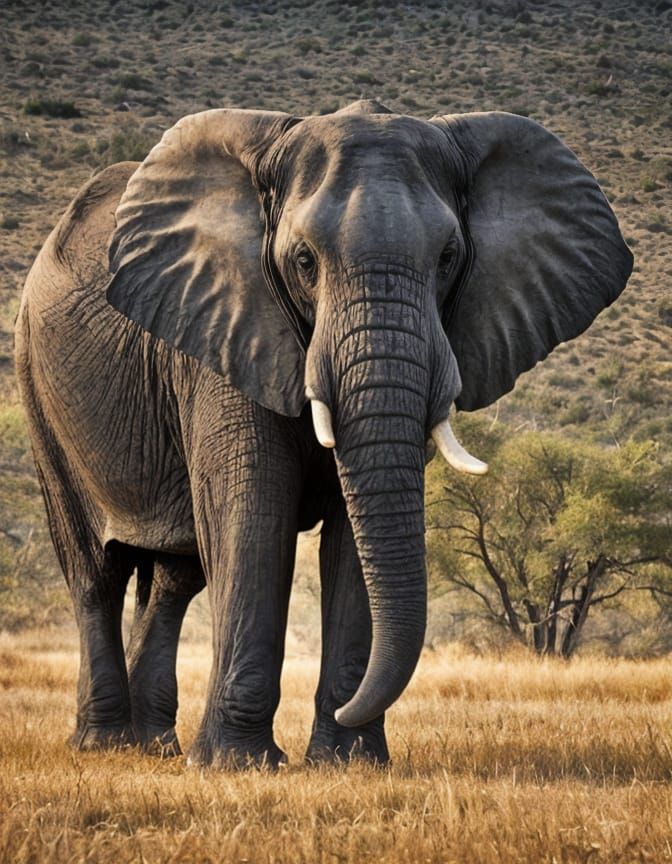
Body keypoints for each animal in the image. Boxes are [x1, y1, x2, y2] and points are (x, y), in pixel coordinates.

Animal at [15, 98, 632, 768]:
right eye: (304, 262)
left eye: (448, 258)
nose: (349, 707)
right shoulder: (225, 324)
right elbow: (253, 511)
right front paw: (238, 764)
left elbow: (350, 531)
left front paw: (348, 759)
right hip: (37, 385)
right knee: (94, 571)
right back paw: (103, 744)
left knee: (174, 578)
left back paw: (154, 747)